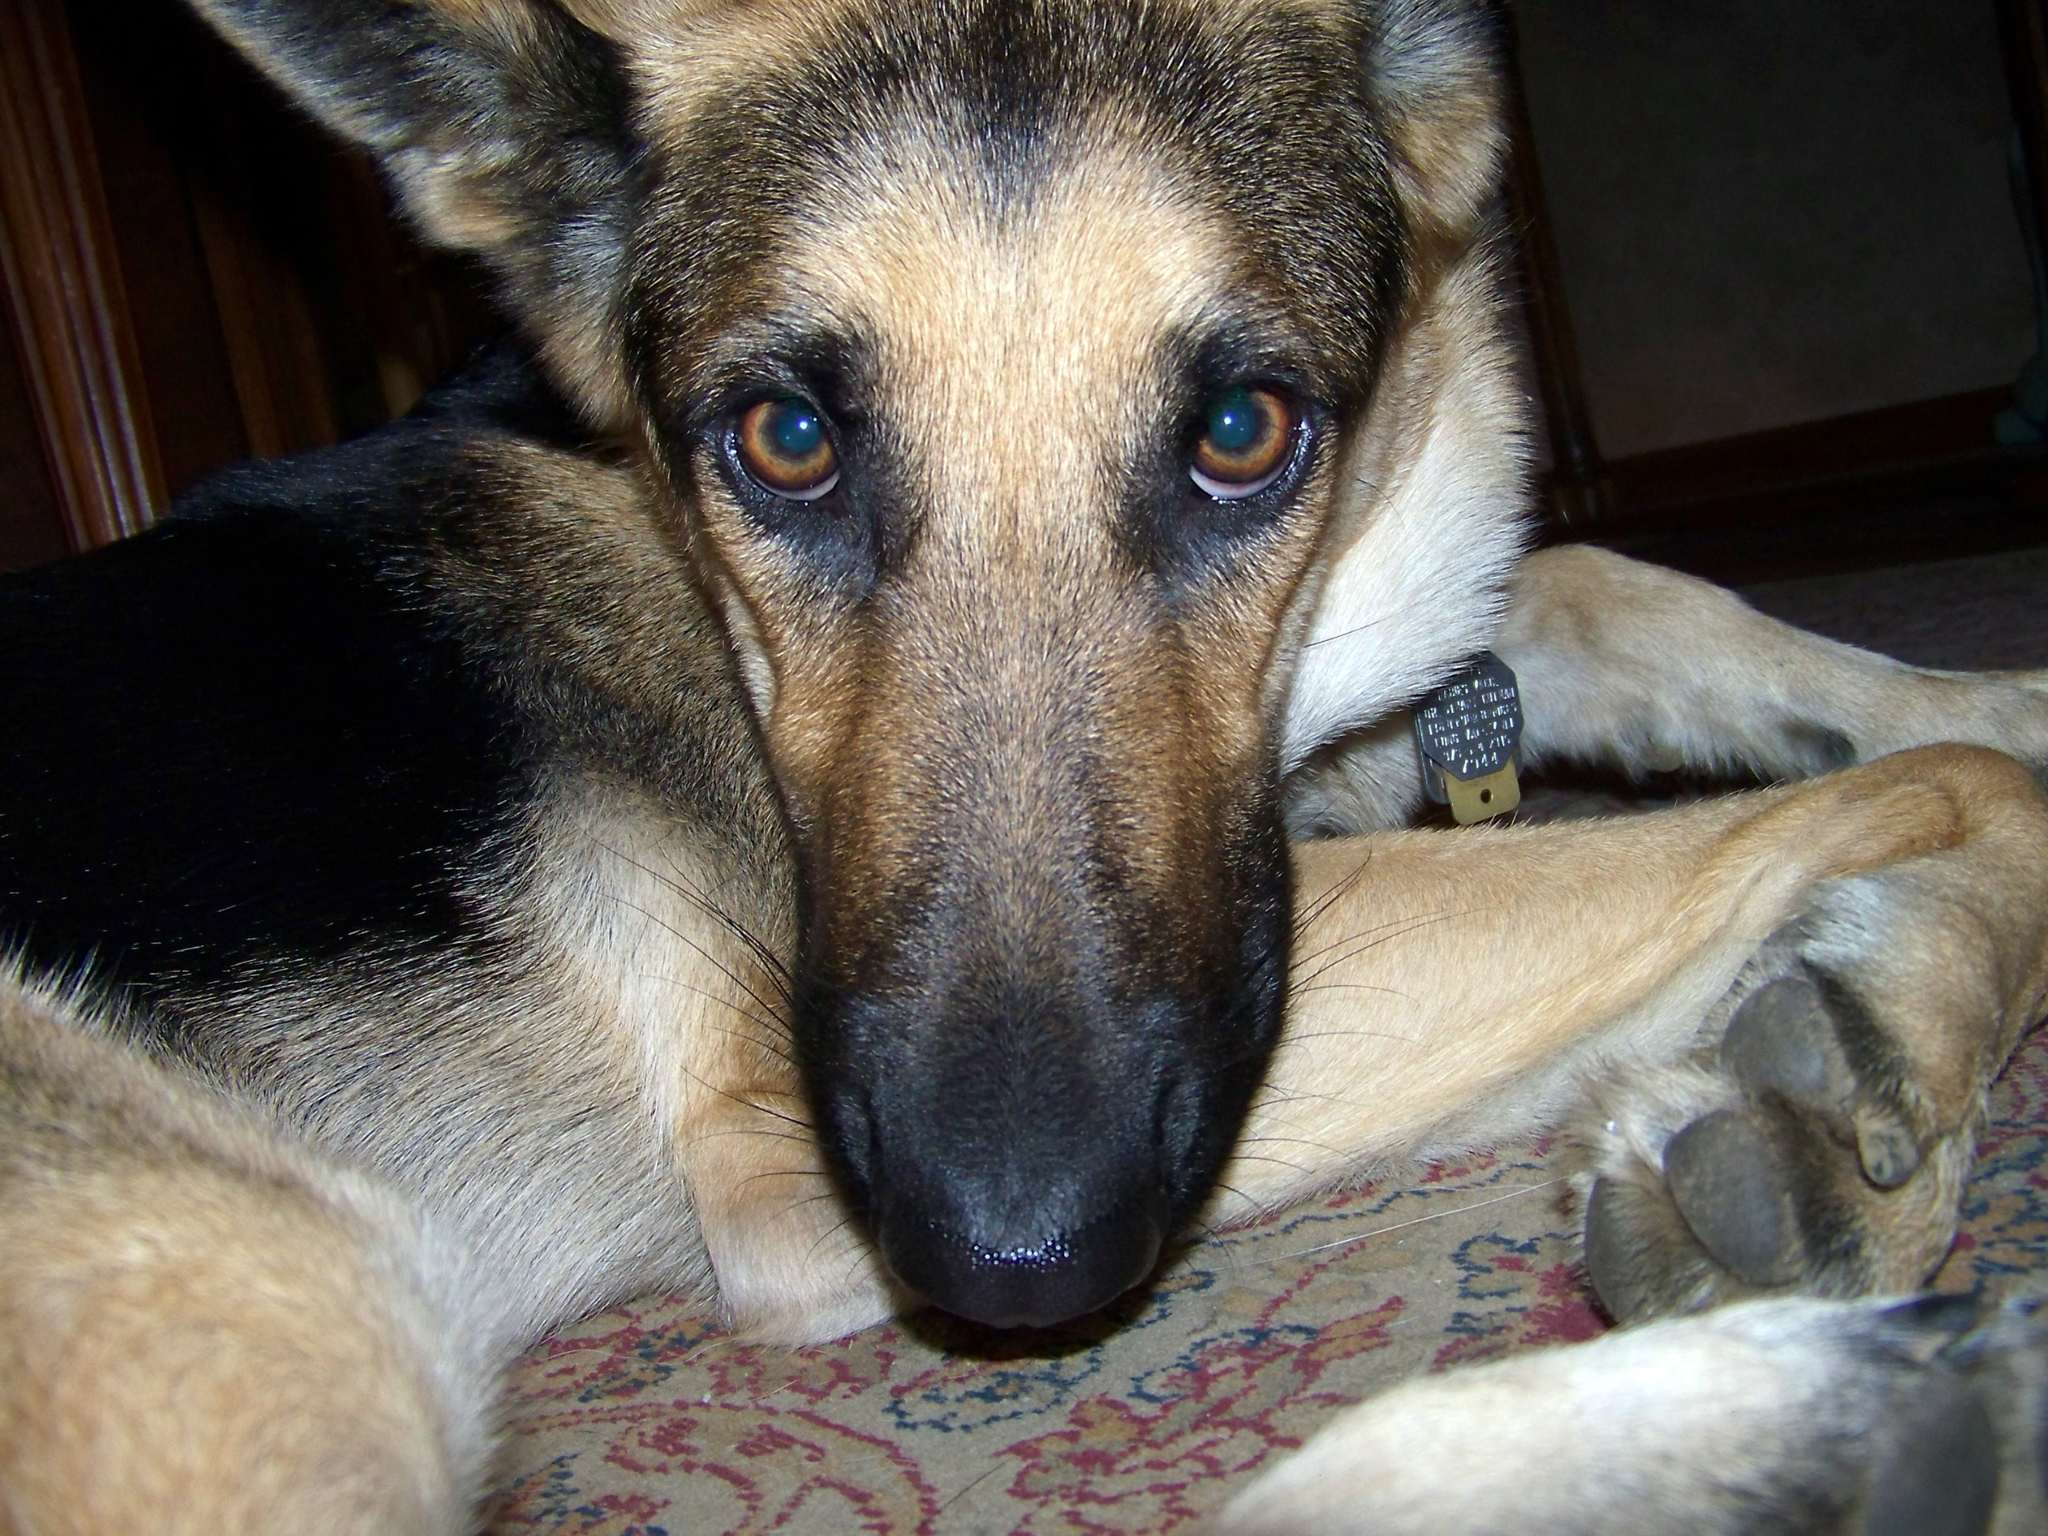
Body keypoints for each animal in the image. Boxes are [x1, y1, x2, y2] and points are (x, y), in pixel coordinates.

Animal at [4, 0, 2048, 1531]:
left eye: (1242, 431)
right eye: (782, 440)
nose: (1010, 1254)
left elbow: (1662, 604)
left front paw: (1978, 711)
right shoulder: (785, 1128)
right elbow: (1943, 790)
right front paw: (1882, 1044)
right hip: (258, 1272)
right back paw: (1775, 1439)